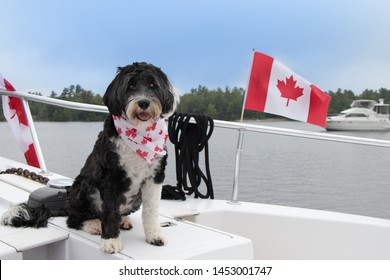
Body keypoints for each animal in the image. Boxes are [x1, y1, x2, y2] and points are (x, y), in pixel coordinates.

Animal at [1, 61, 178, 254]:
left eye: (153, 85)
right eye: (130, 86)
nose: (144, 102)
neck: (139, 132)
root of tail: (68, 204)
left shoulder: (155, 176)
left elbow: (151, 210)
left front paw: (154, 236)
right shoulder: (110, 177)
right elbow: (110, 211)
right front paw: (111, 240)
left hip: (134, 198)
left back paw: (122, 220)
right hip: (86, 186)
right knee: (76, 219)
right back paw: (93, 224)